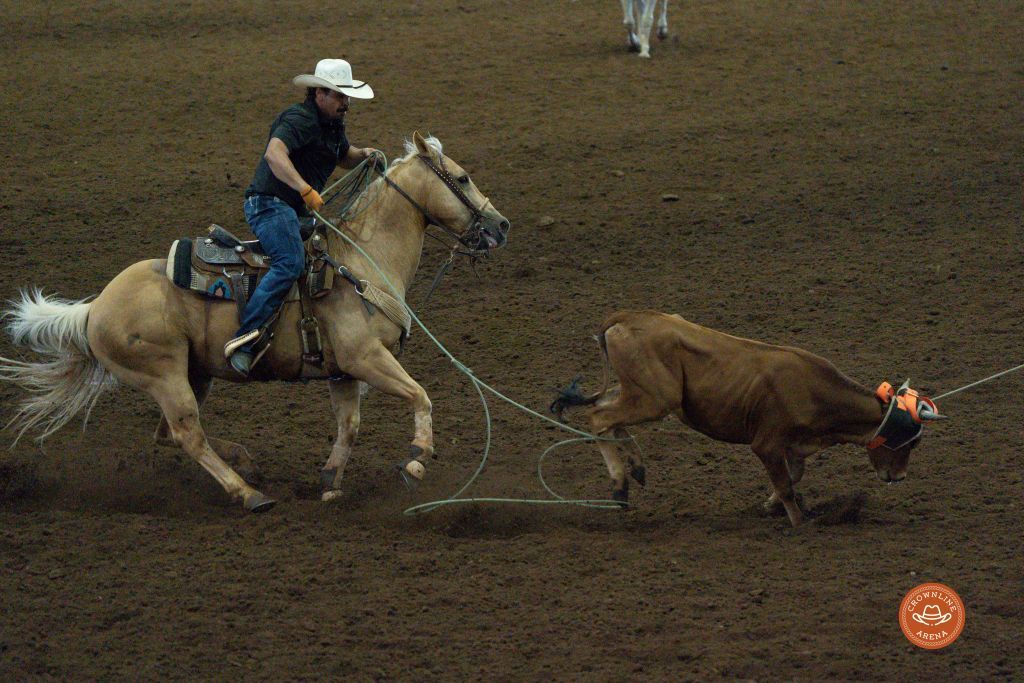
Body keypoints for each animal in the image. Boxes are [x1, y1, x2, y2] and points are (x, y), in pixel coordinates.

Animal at [0, 132, 510, 513]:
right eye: (462, 177)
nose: (501, 225)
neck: (362, 260)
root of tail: (96, 307)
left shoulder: (343, 372)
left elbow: (349, 425)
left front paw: (330, 481)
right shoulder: (365, 357)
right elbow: (420, 395)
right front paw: (417, 459)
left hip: (194, 372)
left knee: (169, 434)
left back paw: (247, 464)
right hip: (164, 374)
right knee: (187, 434)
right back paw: (248, 492)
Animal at [550, 310, 946, 527]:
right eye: (911, 443)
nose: (898, 477)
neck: (814, 391)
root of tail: (627, 316)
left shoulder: (792, 446)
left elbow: (793, 476)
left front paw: (772, 506)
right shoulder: (766, 443)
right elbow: (786, 483)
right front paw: (800, 522)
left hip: (638, 391)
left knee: (609, 412)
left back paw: (636, 468)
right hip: (655, 398)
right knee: (599, 416)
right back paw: (620, 484)